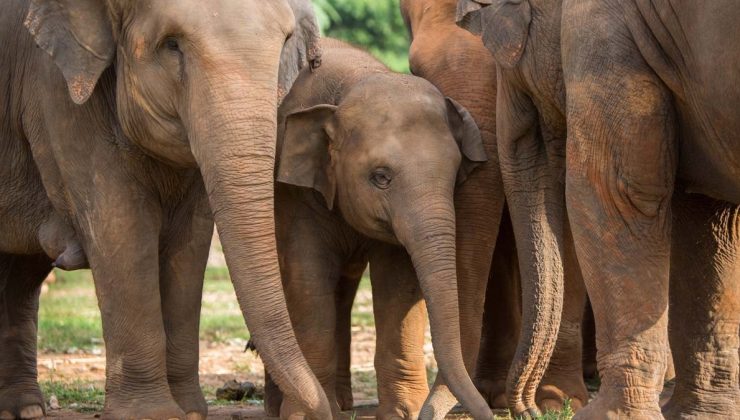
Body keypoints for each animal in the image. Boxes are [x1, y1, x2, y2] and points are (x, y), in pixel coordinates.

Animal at [0, 0, 330, 420]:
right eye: (172, 45)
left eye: (286, 43)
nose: (304, 411)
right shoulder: (55, 89)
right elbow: (121, 225)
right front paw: (152, 413)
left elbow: (190, 242)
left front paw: (188, 412)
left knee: (20, 273)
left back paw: (23, 409)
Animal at [266, 40, 492, 420]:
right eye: (380, 177)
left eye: (454, 175)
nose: (489, 412)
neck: (352, 84)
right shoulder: (295, 192)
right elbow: (308, 277)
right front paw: (310, 413)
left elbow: (398, 282)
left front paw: (404, 413)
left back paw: (341, 402)